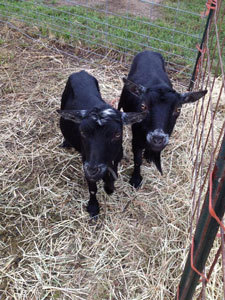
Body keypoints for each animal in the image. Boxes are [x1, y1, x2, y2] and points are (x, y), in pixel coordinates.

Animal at [118, 51, 207, 188]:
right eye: (143, 106)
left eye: (178, 109)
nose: (157, 138)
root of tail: (148, 51)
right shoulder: (136, 139)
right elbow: (137, 160)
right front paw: (136, 180)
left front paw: (149, 156)